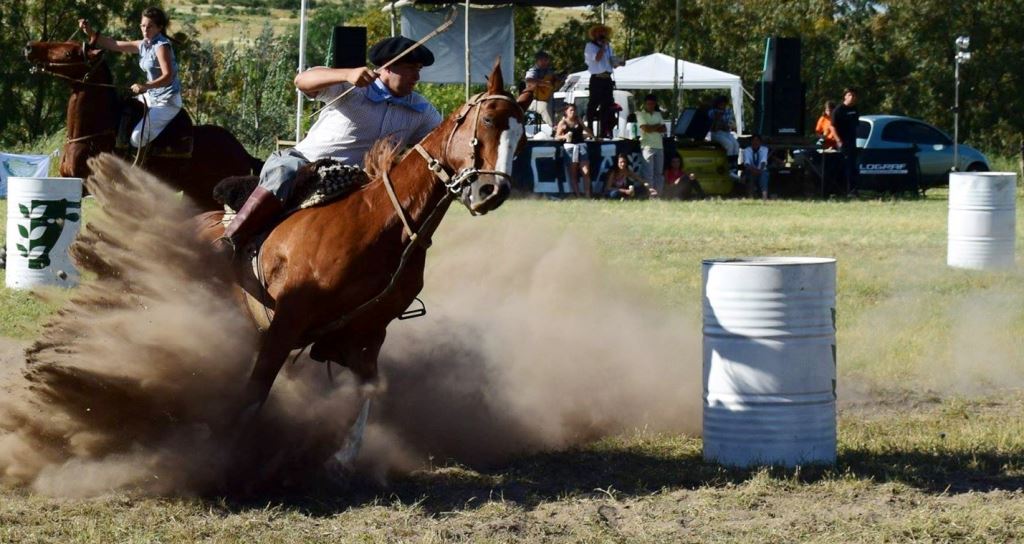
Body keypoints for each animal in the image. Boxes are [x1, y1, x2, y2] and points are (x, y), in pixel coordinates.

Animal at [195, 62, 528, 450]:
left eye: (522, 137)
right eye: (488, 119)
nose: (492, 190)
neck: (377, 222)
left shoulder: (367, 332)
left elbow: (368, 389)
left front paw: (344, 455)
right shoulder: (287, 319)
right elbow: (256, 390)